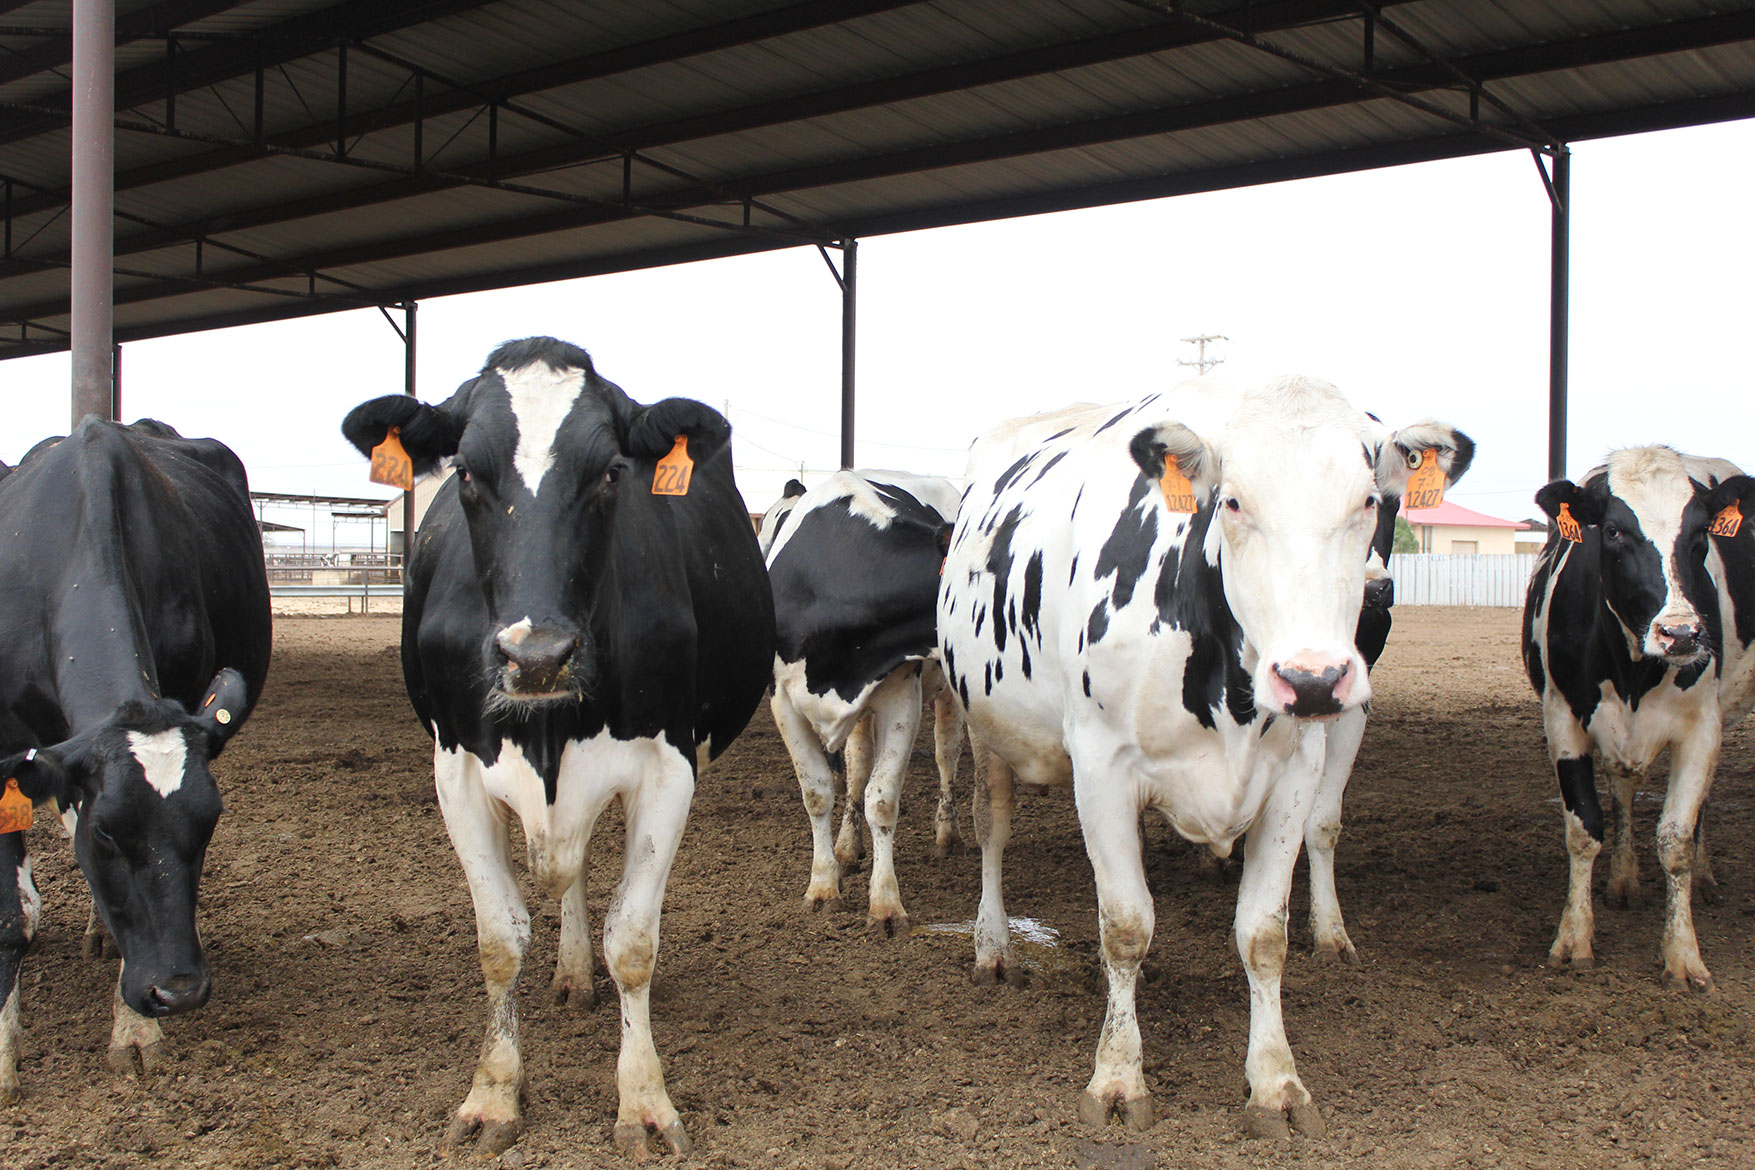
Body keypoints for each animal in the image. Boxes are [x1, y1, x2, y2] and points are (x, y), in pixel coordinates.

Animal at [0, 419, 270, 1101]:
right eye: (107, 833)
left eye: (209, 825)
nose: (178, 991)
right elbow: (11, 913)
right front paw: (4, 1053)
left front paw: (136, 1032)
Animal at [342, 333, 775, 1157]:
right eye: (467, 472)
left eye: (610, 471)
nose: (536, 655)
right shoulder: (455, 768)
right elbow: (499, 941)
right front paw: (492, 1096)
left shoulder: (669, 767)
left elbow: (633, 939)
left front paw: (643, 1100)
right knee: (565, 873)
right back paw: (572, 974)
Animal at [940, 380, 1474, 1136]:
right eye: (1233, 501)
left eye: (1371, 500)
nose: (1313, 678)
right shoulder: (1100, 767)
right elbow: (1124, 925)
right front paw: (1116, 1077)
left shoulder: (1295, 774)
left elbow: (1263, 933)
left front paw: (1275, 1082)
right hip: (985, 723)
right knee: (992, 830)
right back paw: (992, 947)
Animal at [1523, 445, 1755, 989]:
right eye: (1612, 531)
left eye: (1701, 532)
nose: (1682, 633)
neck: (1633, 668)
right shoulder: (1563, 719)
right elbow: (1585, 829)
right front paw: (1574, 941)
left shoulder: (1703, 730)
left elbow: (1676, 839)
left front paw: (1683, 956)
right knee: (1624, 790)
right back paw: (1624, 879)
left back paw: (1705, 876)